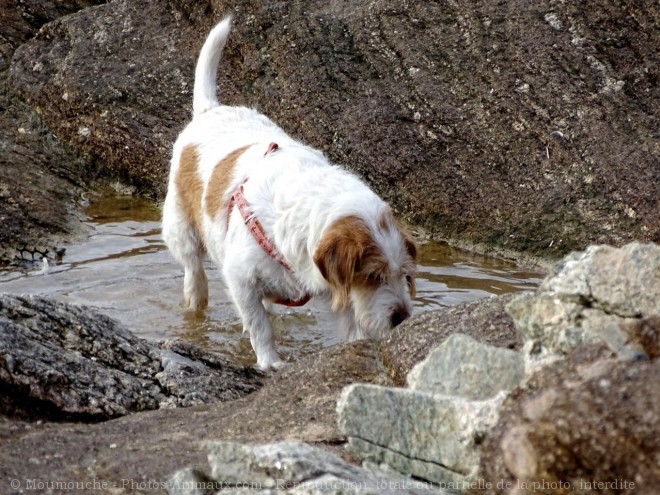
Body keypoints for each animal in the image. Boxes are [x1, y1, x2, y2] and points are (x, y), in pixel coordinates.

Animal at [162, 17, 416, 370]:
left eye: (404, 274)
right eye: (373, 276)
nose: (403, 318)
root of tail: (210, 110)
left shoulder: (338, 289)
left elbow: (351, 323)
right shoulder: (240, 279)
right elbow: (258, 326)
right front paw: (270, 361)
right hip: (181, 230)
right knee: (194, 273)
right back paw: (196, 298)